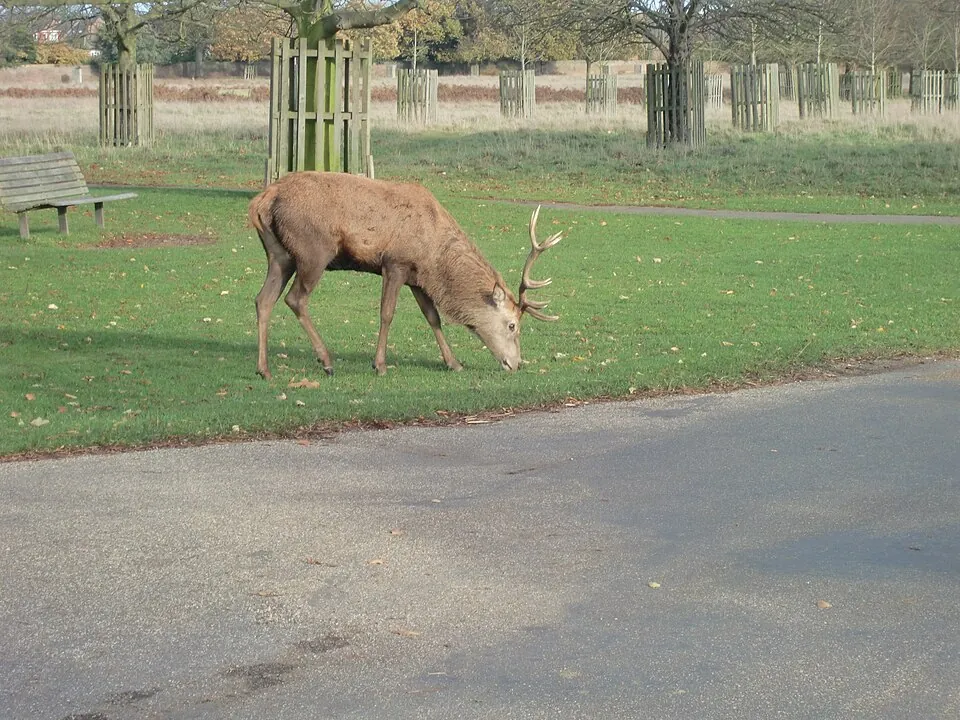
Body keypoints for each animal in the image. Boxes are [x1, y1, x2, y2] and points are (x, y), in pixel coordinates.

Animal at [248, 171, 563, 379]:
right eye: (512, 325)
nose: (516, 364)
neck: (434, 257)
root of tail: (262, 199)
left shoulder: (417, 278)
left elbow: (433, 317)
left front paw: (454, 363)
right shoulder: (395, 263)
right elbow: (387, 313)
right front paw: (380, 365)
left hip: (280, 255)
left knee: (263, 299)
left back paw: (264, 369)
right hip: (313, 251)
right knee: (295, 299)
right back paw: (326, 361)